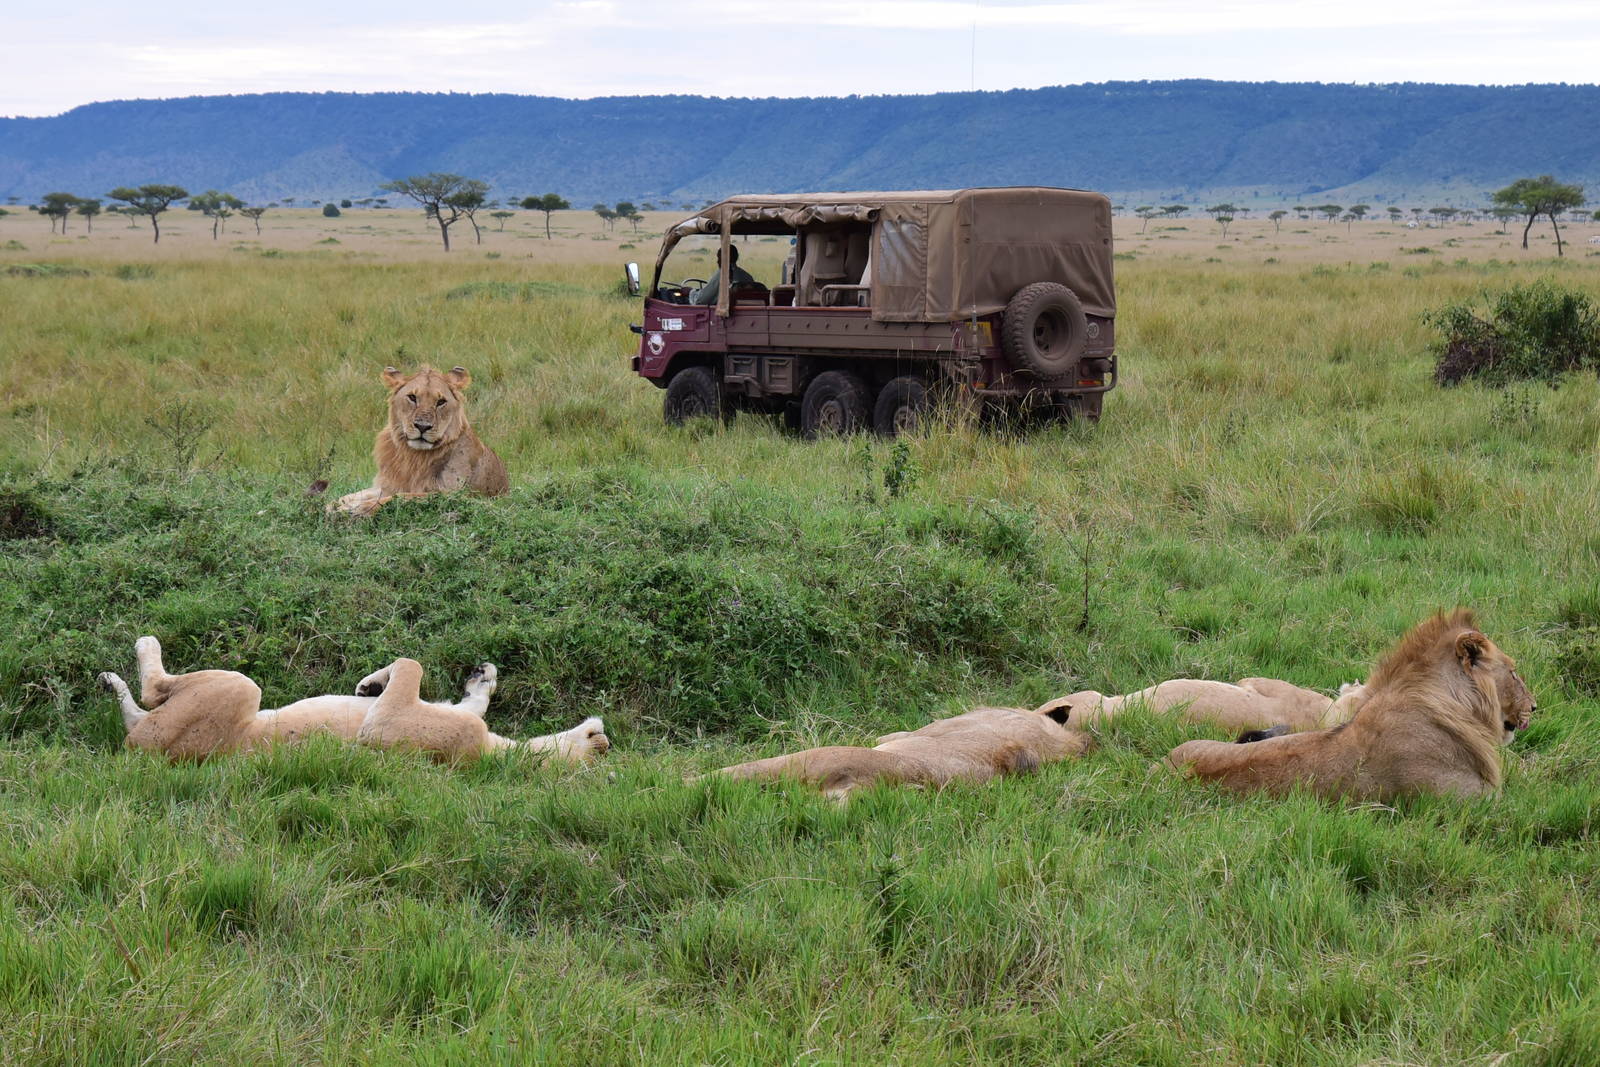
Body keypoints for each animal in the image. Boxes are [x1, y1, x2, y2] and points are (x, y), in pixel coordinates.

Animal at [99, 636, 606, 765]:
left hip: (238, 687)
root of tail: (143, 754)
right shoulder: (462, 715)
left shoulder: (383, 726)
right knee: (136, 710)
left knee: (150, 694)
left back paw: (138, 652)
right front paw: (484, 676)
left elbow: (411, 662)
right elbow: (472, 699)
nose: (604, 734)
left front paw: (370, 682)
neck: (496, 752)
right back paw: (109, 681)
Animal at [333, 365, 509, 516]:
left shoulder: (451, 494)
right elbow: (354, 495)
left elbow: (399, 497)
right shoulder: (388, 484)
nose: (423, 426)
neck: (412, 456)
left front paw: (359, 509)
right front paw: (336, 505)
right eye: (412, 397)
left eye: (441, 402)